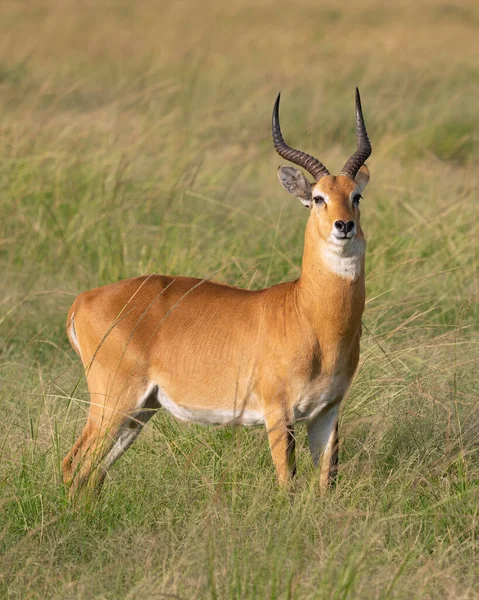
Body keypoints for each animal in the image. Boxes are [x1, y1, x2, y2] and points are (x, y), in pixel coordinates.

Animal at [62, 88, 372, 496]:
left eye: (356, 196)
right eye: (318, 197)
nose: (344, 225)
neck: (310, 316)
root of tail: (83, 300)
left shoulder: (327, 411)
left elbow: (326, 482)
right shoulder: (279, 412)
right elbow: (287, 482)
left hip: (139, 411)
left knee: (93, 473)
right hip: (113, 403)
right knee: (73, 464)